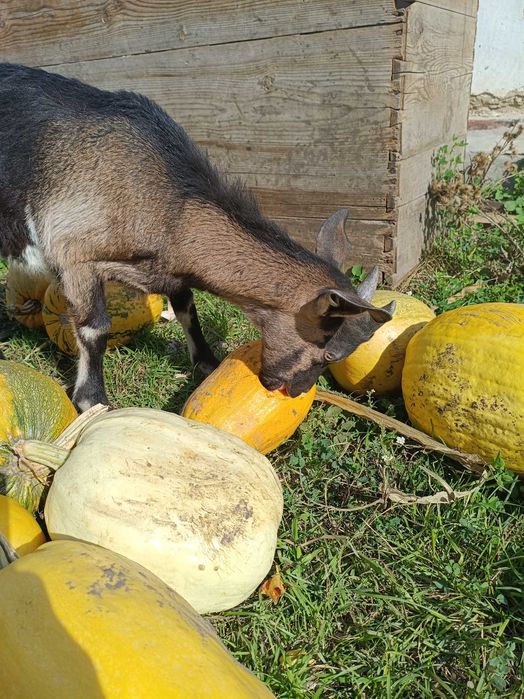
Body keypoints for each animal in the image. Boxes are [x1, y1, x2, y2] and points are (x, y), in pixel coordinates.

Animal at [0, 63, 394, 411]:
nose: (294, 391)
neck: (170, 209)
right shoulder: (73, 255)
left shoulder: (166, 270)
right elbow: (95, 329)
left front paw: (207, 362)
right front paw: (93, 400)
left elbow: (187, 309)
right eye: (331, 352)